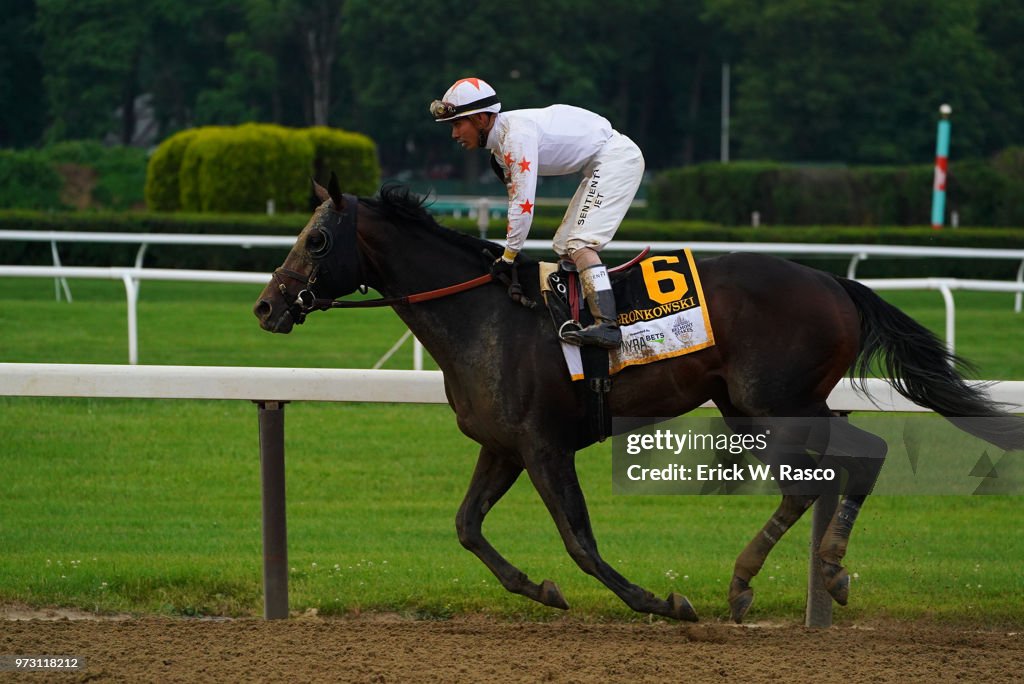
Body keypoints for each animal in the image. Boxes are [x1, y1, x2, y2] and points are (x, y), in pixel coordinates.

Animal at [253, 176, 1024, 626]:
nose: (266, 306)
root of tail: (835, 282)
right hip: (756, 406)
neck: (483, 316)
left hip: (773, 403)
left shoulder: (544, 446)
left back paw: (773, 578)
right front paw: (538, 589)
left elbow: (580, 541)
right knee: (842, 465)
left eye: (316, 239)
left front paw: (661, 602)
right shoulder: (503, 445)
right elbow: (467, 526)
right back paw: (797, 576)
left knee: (842, 464)